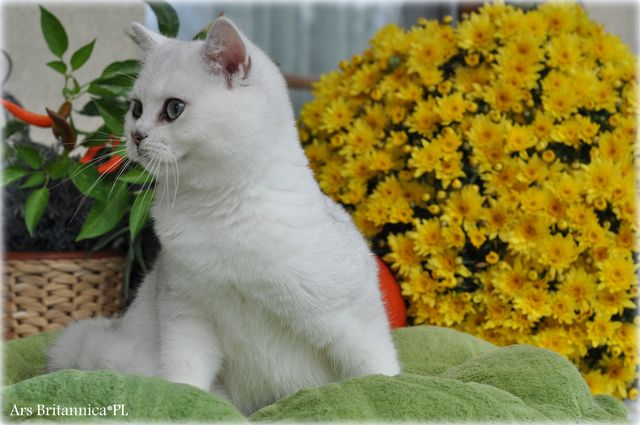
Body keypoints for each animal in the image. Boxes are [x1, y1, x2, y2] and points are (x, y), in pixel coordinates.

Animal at [47, 17, 400, 415]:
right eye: (135, 108)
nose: (136, 136)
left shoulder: (352, 317)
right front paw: (187, 402)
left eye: (173, 109)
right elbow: (185, 377)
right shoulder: (187, 317)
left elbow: (377, 369)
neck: (220, 210)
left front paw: (390, 390)